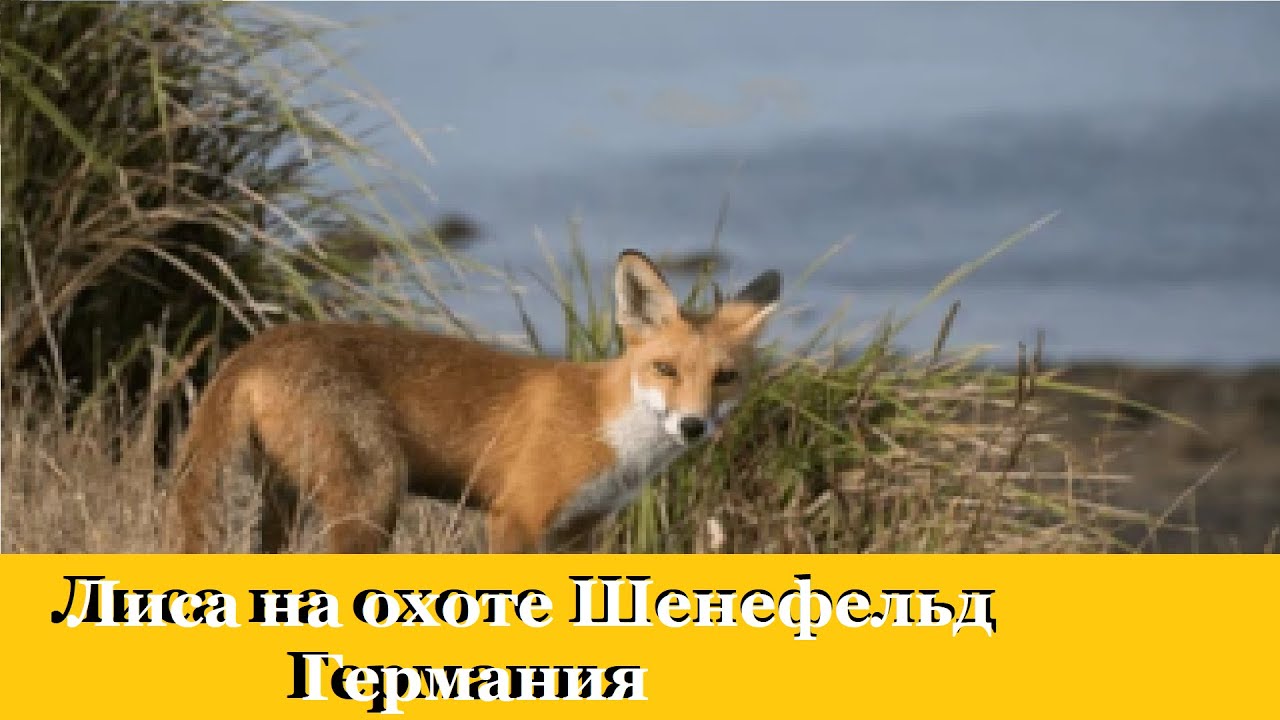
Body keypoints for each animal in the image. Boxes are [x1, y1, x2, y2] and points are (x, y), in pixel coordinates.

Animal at [172, 249, 781, 553]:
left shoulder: (579, 533)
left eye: (725, 377)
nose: (693, 425)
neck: (610, 434)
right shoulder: (514, 519)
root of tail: (254, 349)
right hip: (375, 496)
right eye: (666, 369)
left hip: (289, 499)